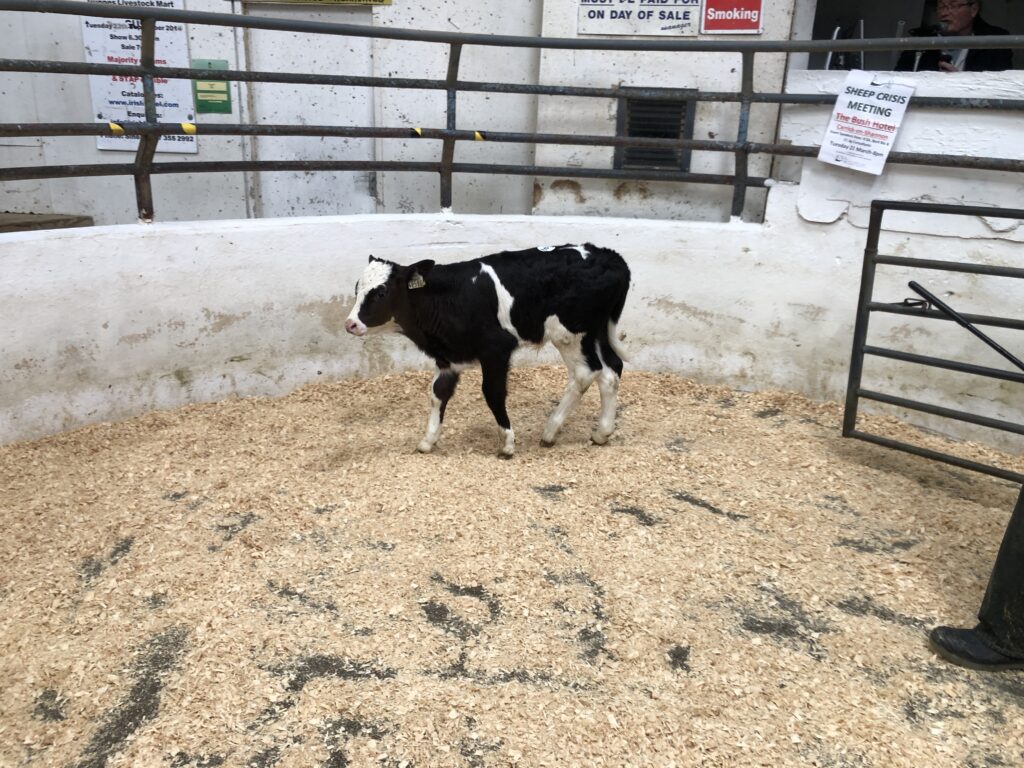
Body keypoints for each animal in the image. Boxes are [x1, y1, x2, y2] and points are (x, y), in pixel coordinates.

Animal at [344, 243, 631, 457]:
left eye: (381, 292)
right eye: (357, 288)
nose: (351, 323)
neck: (450, 297)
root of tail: (609, 255)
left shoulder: (496, 349)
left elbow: (492, 393)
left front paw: (507, 443)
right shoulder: (448, 358)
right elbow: (438, 393)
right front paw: (428, 440)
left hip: (569, 333)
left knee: (585, 372)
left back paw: (550, 431)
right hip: (595, 330)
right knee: (611, 370)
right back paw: (602, 432)